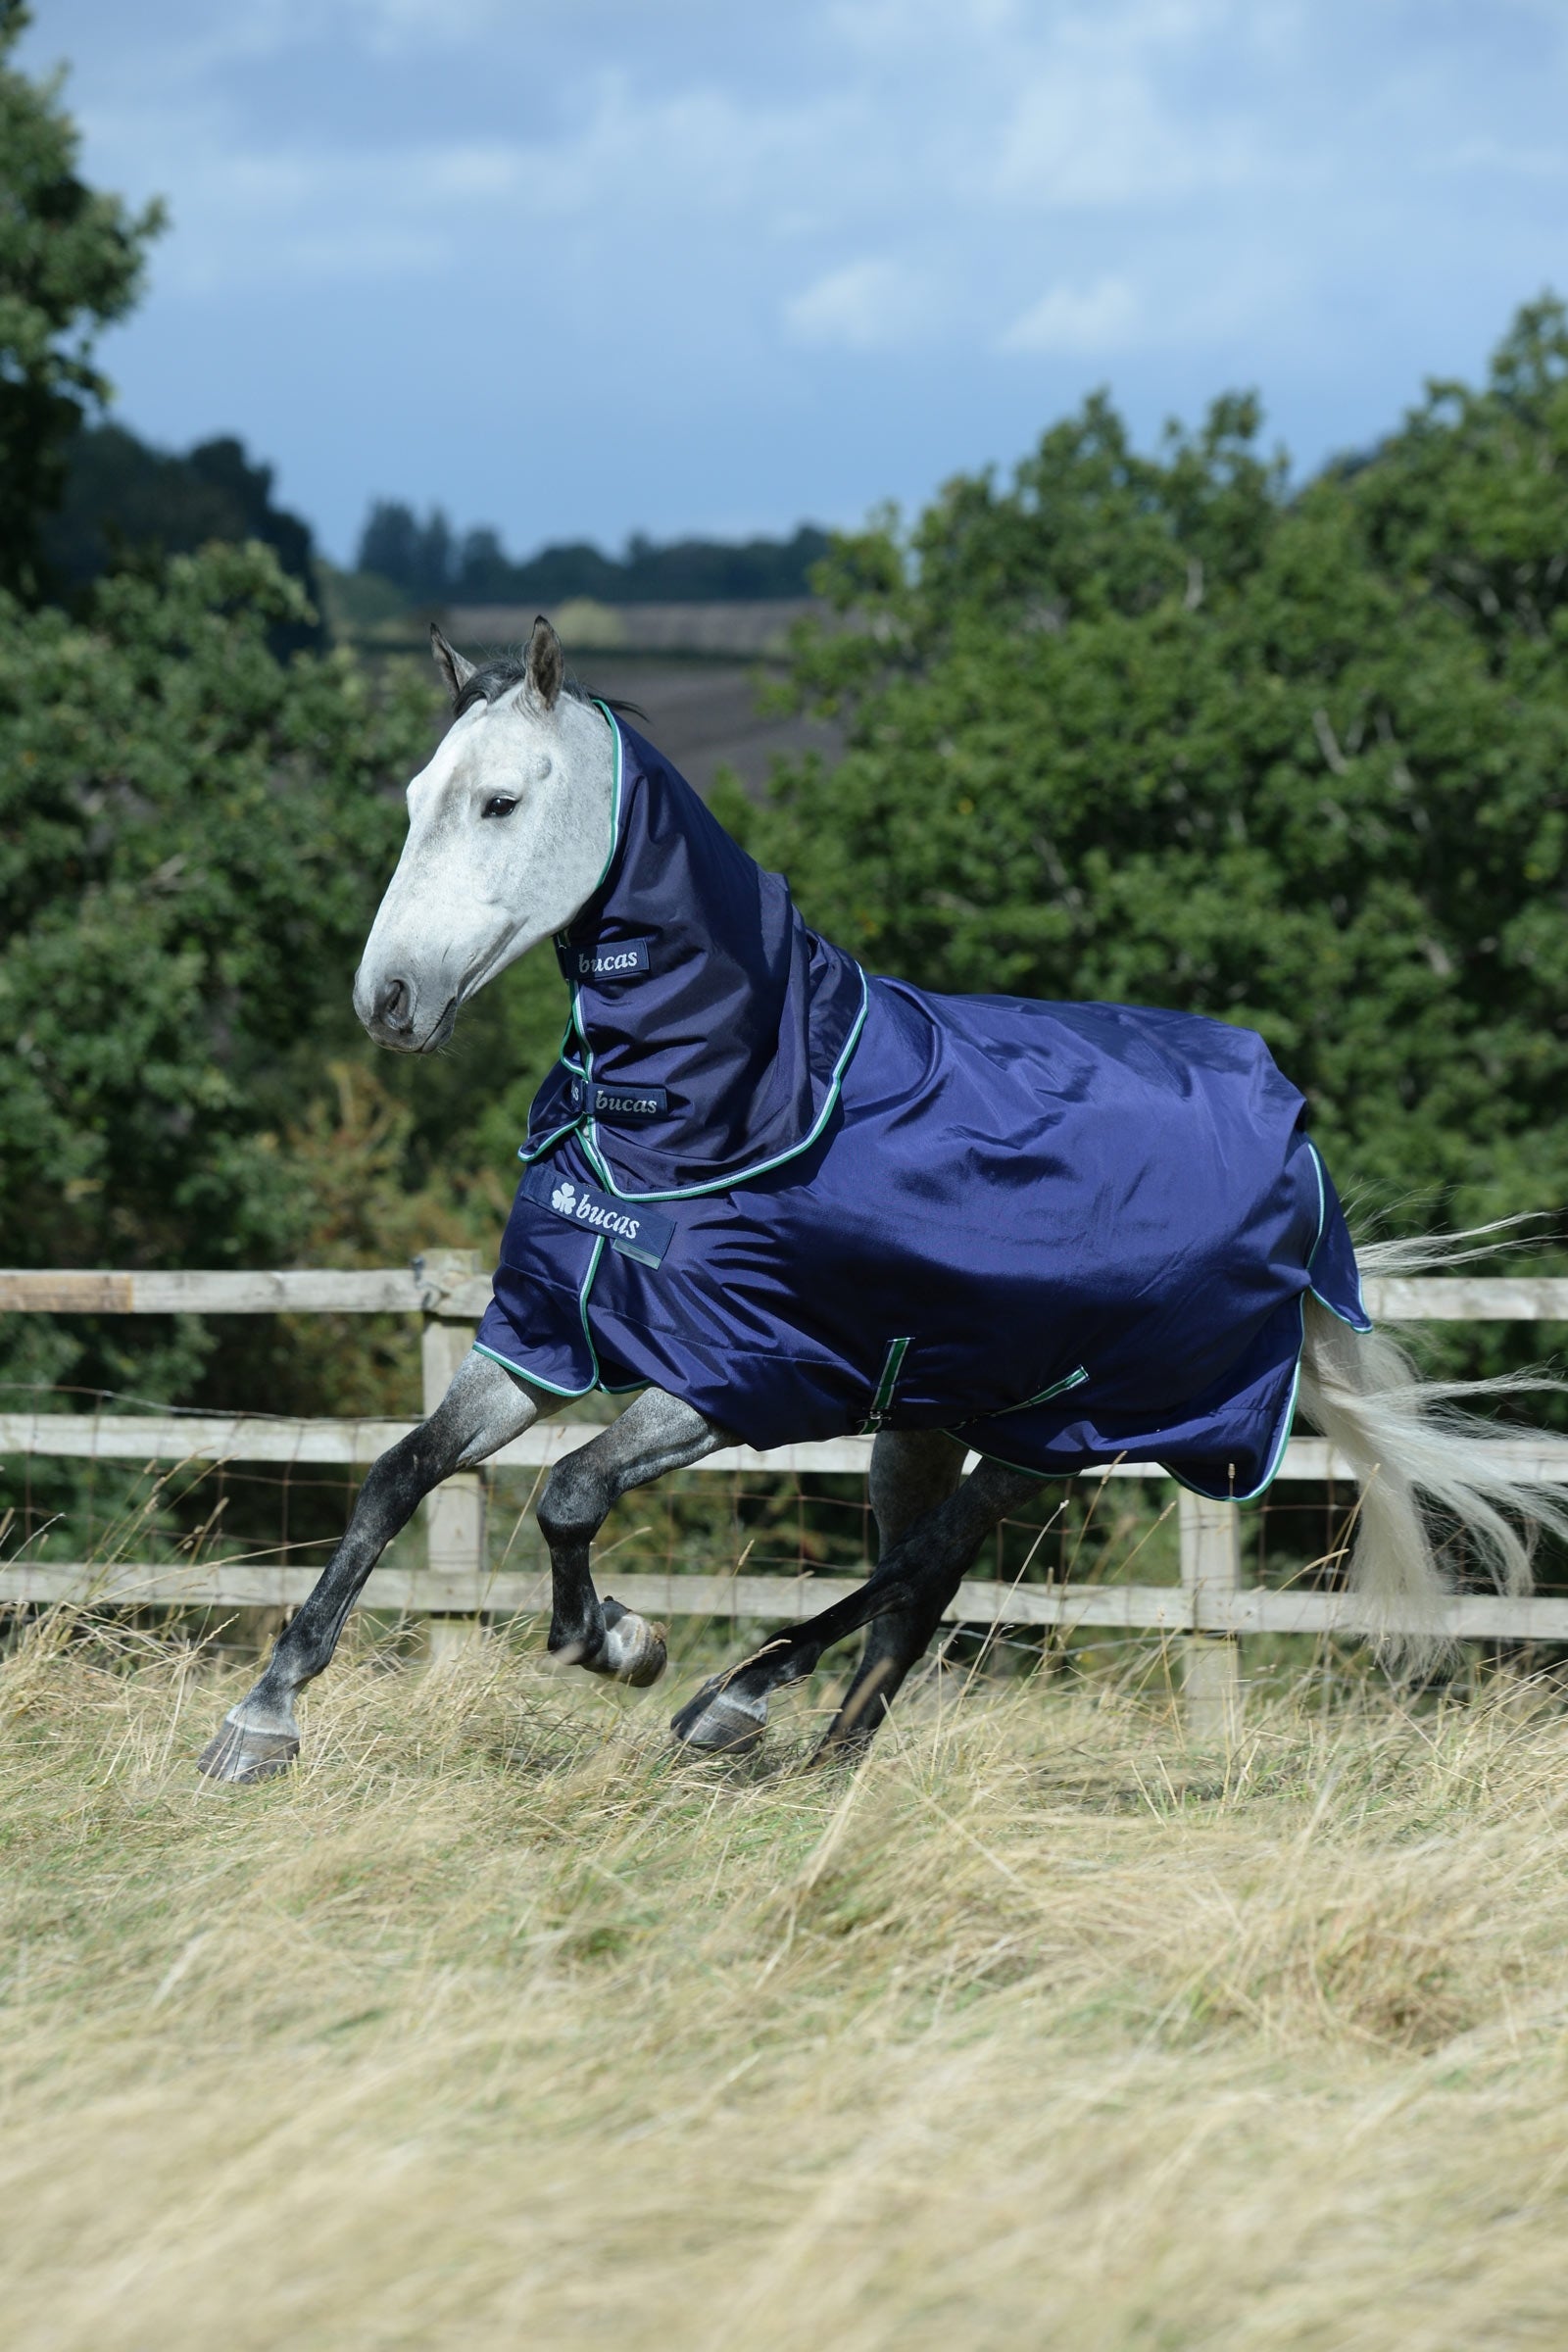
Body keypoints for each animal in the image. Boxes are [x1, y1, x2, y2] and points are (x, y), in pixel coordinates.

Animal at [198, 617, 1568, 1782]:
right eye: (414, 799)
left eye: (500, 800)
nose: (387, 1002)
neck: (714, 1104)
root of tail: (1299, 1147)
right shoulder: (543, 1337)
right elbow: (398, 1476)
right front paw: (261, 1722)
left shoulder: (737, 1377)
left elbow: (570, 1493)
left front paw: (622, 1643)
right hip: (932, 1418)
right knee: (918, 1590)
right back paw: (820, 1758)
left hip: (1061, 1428)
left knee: (924, 1558)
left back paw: (732, 1702)